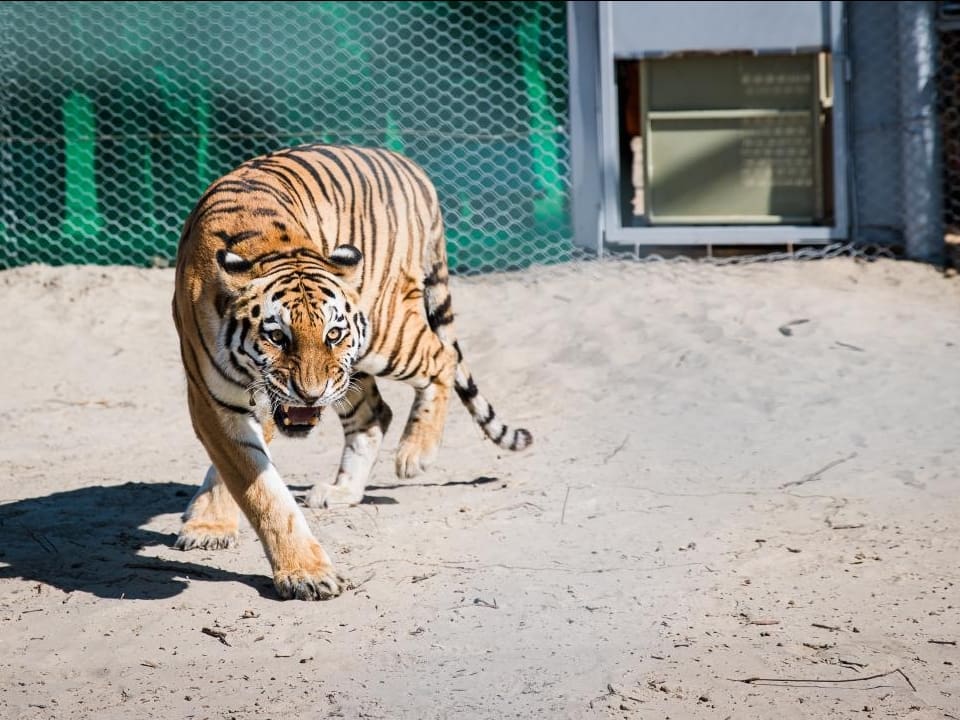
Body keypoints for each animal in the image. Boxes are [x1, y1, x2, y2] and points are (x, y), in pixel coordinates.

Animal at [172, 143, 532, 600]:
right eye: (277, 337)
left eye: (333, 333)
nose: (310, 395)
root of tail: (410, 166)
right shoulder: (213, 400)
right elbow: (255, 485)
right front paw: (214, 526)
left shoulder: (260, 401)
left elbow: (255, 487)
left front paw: (303, 573)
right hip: (352, 369)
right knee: (375, 412)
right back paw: (344, 490)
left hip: (383, 333)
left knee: (441, 358)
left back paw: (416, 453)